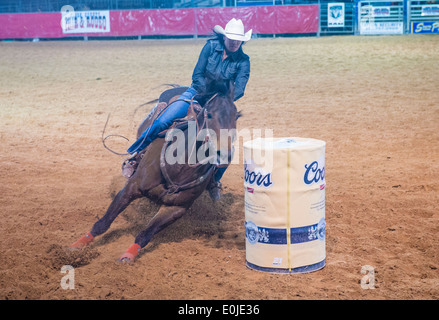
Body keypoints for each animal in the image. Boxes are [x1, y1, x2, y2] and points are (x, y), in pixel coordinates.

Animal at [69, 80, 241, 262]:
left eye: (236, 116)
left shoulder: (176, 208)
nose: (224, 153)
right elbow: (104, 222)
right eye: (209, 115)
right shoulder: (132, 187)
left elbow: (146, 234)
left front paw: (128, 256)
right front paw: (77, 246)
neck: (180, 167)